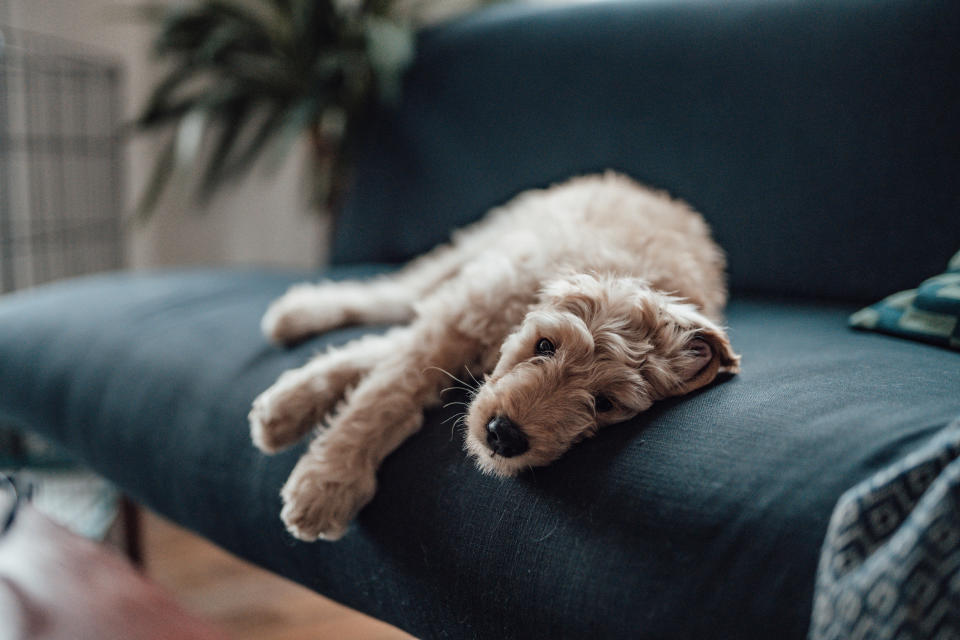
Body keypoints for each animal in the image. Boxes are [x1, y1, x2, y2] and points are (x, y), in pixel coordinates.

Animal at [249, 172, 744, 544]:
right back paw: (299, 313)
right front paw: (327, 482)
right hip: (480, 245)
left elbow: (387, 359)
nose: (504, 436)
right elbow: (386, 392)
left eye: (605, 403)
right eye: (545, 345)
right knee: (398, 293)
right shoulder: (465, 313)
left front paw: (291, 411)